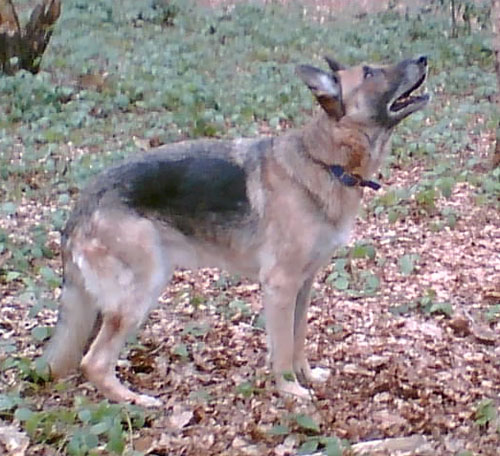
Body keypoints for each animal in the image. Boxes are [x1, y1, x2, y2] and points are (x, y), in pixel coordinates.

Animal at [44, 54, 430, 406]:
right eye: (370, 73)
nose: (423, 58)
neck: (325, 161)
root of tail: (82, 205)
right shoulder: (280, 286)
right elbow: (283, 348)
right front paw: (289, 389)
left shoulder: (303, 286)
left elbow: (298, 339)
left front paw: (306, 376)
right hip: (140, 292)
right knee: (93, 362)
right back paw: (134, 401)